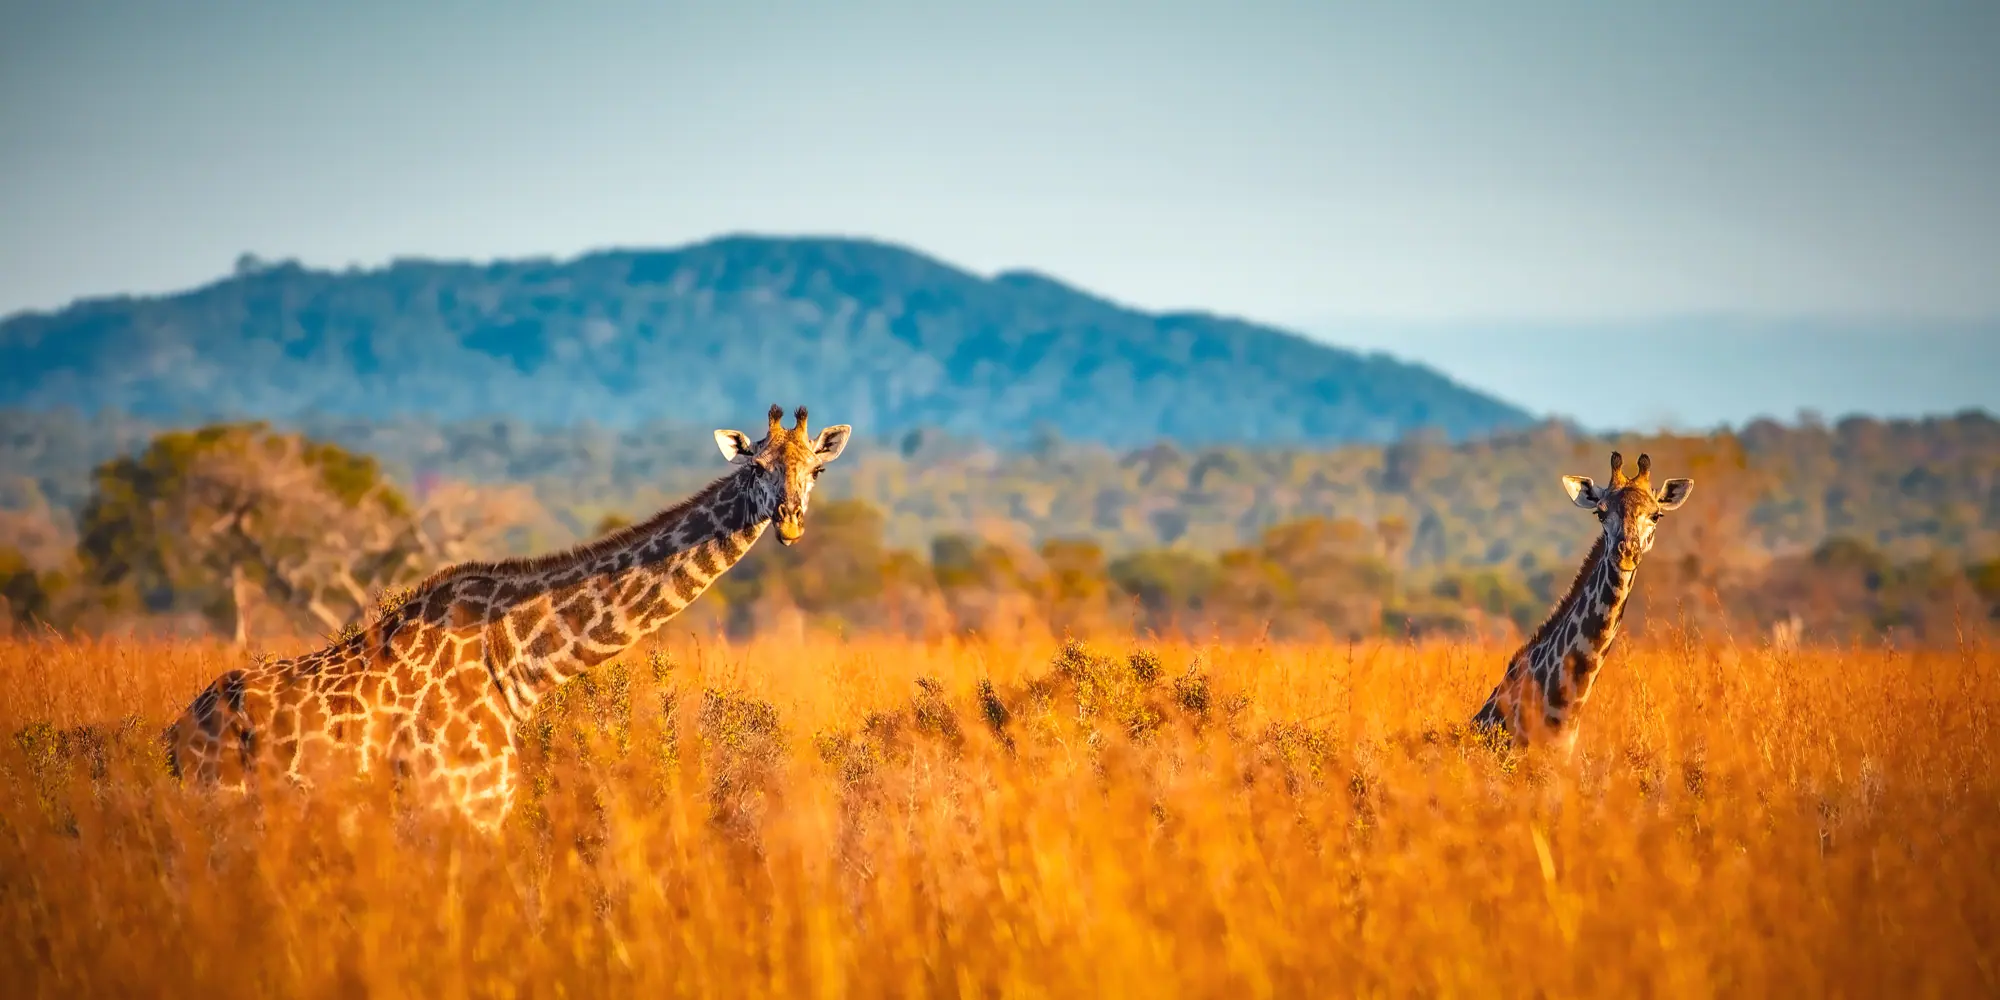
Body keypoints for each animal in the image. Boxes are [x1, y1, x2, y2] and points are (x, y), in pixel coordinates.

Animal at [162, 404, 851, 832]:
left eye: (816, 468)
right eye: (756, 466)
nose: (789, 521)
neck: (515, 665)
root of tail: (177, 730)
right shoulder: (462, 805)